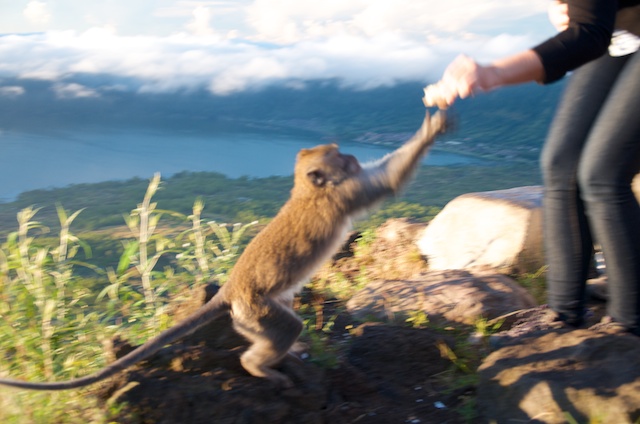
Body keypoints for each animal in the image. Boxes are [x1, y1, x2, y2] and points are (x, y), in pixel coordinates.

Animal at [0, 110, 448, 390]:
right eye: (342, 158)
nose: (353, 156)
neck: (311, 190)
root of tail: (230, 292)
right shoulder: (346, 193)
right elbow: (387, 181)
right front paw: (434, 127)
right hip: (256, 311)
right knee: (284, 327)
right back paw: (258, 367)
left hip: (248, 318)